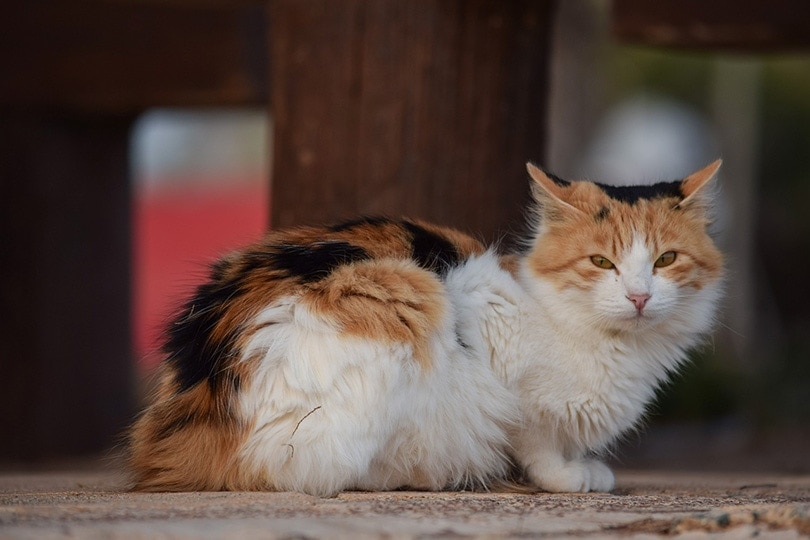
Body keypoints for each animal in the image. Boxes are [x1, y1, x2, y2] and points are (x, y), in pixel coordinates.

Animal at [129, 158, 724, 496]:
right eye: (602, 263)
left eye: (666, 259)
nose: (640, 296)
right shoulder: (486, 327)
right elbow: (533, 437)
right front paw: (569, 476)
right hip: (403, 298)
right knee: (300, 471)